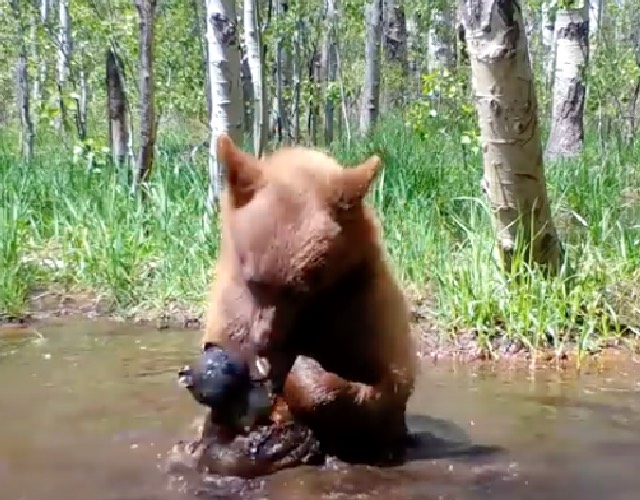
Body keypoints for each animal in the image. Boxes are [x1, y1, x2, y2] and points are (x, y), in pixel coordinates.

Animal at [200, 132, 418, 465]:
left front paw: (296, 373)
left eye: (299, 291)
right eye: (255, 282)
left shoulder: (363, 304)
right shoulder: (232, 308)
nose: (263, 340)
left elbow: (389, 383)